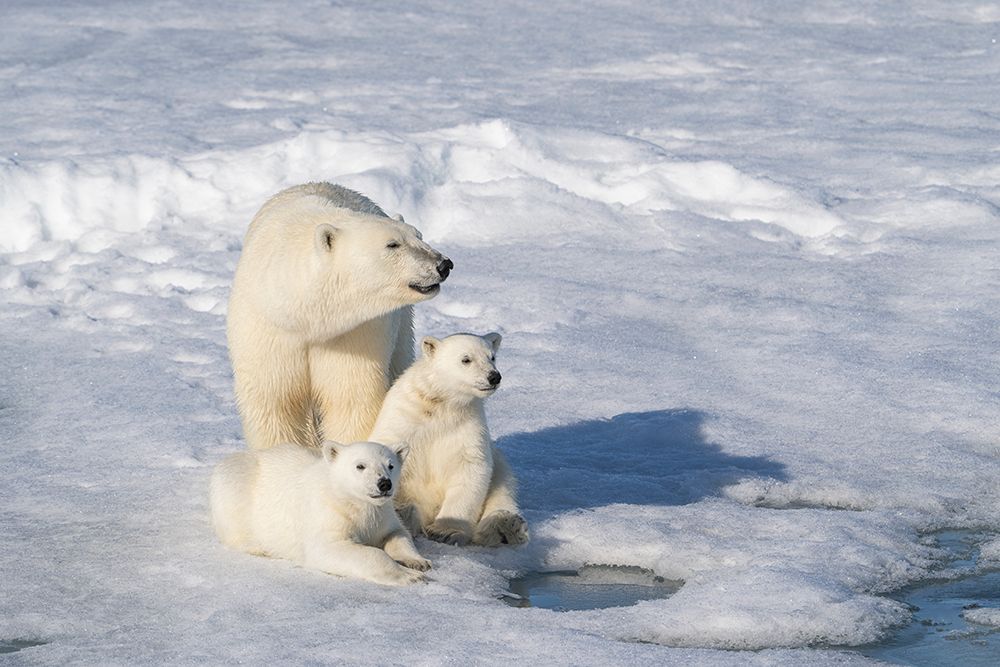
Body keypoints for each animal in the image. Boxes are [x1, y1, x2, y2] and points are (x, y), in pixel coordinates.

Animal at [210, 440, 431, 586]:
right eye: (360, 466)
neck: (351, 501)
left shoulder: (382, 514)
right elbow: (331, 548)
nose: (384, 483)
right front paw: (410, 576)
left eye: (391, 465)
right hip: (236, 483)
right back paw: (259, 547)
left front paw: (418, 562)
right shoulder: (328, 514)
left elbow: (397, 534)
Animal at [227, 182, 453, 450]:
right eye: (392, 244)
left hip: (401, 326)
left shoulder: (353, 333)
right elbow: (276, 403)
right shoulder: (269, 330)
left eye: (419, 235)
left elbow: (351, 399)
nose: (443, 264)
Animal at [369, 332, 529, 547]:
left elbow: (471, 468)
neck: (442, 406)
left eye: (492, 357)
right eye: (466, 359)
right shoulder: (403, 421)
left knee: (503, 487)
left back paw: (505, 526)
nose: (494, 377)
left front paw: (445, 531)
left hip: (500, 467)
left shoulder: (467, 426)